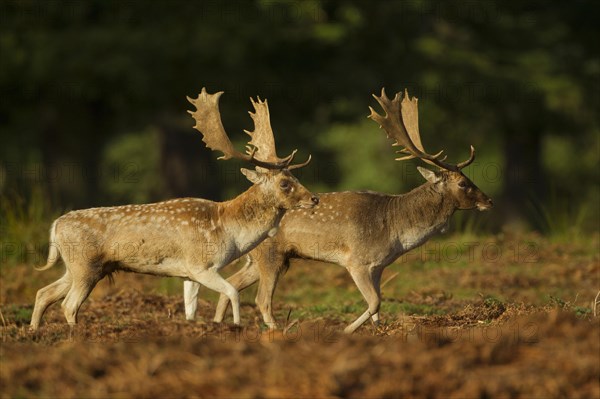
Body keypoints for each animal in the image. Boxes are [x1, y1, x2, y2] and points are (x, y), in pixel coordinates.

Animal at [29, 87, 318, 332]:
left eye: (295, 177)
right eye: (285, 183)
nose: (314, 199)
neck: (229, 231)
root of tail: (55, 225)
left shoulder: (188, 274)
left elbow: (191, 309)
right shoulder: (201, 265)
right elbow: (233, 293)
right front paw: (235, 327)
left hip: (79, 267)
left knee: (43, 293)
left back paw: (33, 332)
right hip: (84, 265)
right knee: (68, 304)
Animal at [183, 88, 492, 334]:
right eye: (463, 183)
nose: (488, 200)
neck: (396, 230)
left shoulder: (379, 266)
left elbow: (379, 307)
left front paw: (378, 333)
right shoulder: (357, 261)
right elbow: (375, 302)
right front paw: (345, 330)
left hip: (258, 259)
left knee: (232, 285)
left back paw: (221, 327)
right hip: (271, 256)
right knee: (262, 300)